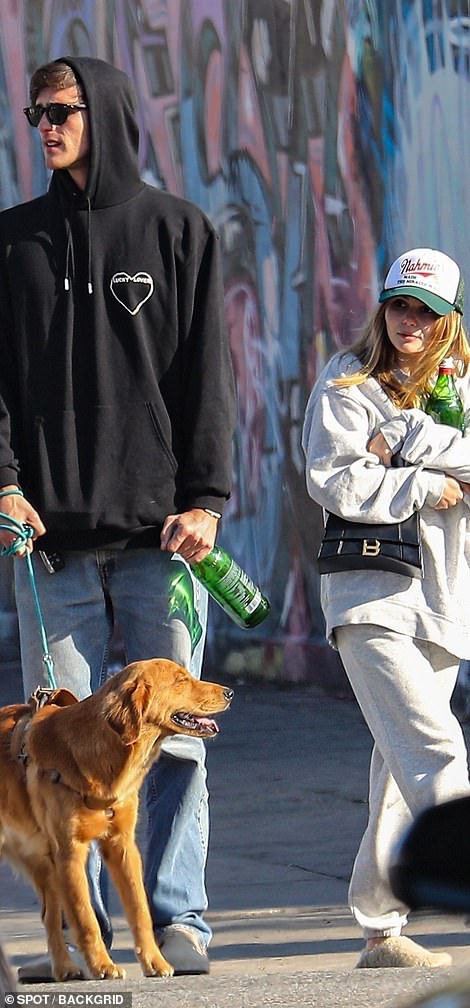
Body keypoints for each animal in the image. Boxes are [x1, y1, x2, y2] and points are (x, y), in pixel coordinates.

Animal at [0, 657, 232, 979]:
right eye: (180, 681)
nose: (229, 693)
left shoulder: (122, 846)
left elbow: (139, 911)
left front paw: (154, 961)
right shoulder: (70, 852)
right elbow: (85, 918)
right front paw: (102, 965)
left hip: (40, 860)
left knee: (49, 915)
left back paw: (64, 967)